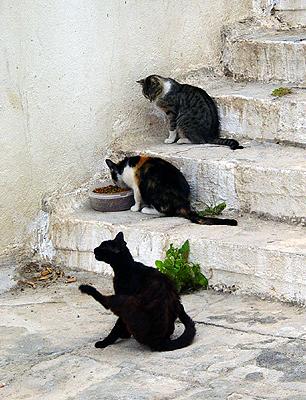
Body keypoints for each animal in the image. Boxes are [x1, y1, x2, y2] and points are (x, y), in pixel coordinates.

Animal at [105, 155, 237, 227]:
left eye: (113, 176)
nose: (115, 184)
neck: (123, 167)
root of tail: (183, 203)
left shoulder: (136, 186)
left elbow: (137, 198)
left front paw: (135, 207)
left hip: (151, 190)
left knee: (165, 212)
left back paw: (147, 210)